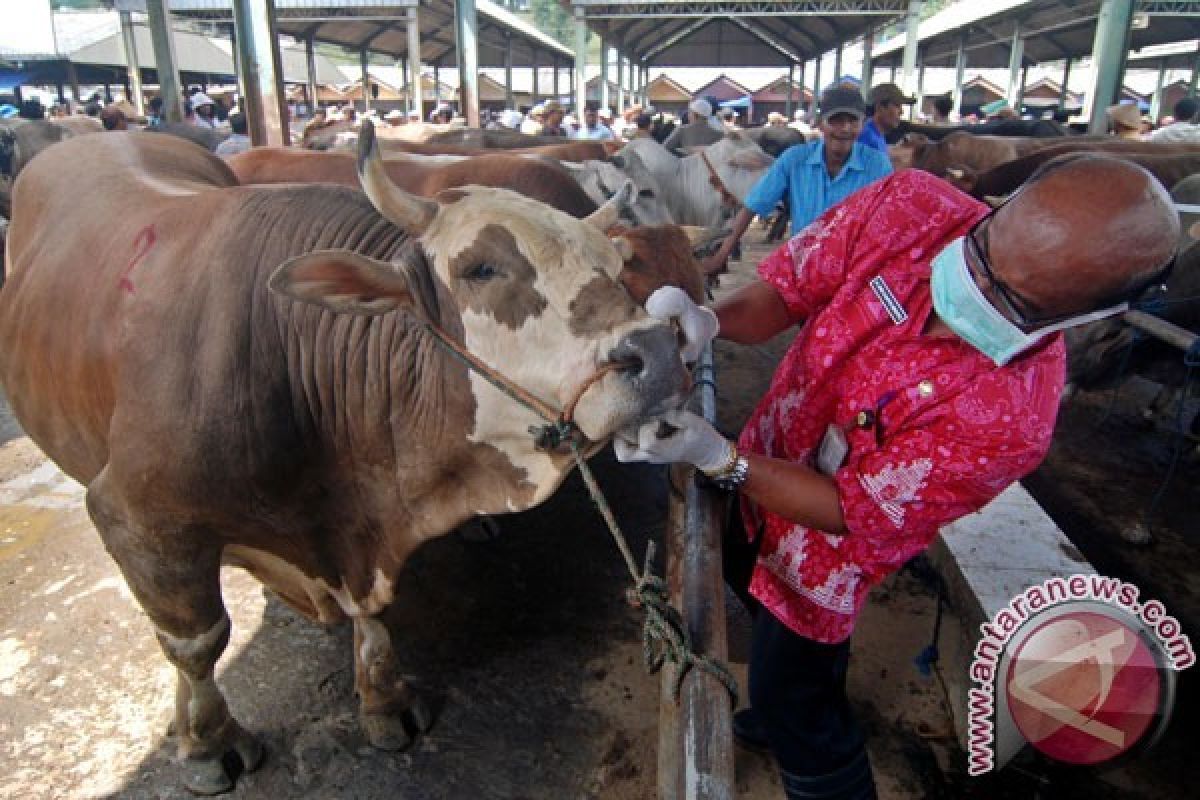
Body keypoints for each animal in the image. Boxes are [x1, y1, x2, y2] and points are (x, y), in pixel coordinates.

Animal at [0, 125, 696, 796]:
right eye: (480, 267)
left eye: (614, 265)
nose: (660, 354)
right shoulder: (135, 518)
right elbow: (197, 643)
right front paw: (207, 740)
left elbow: (376, 618)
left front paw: (384, 699)